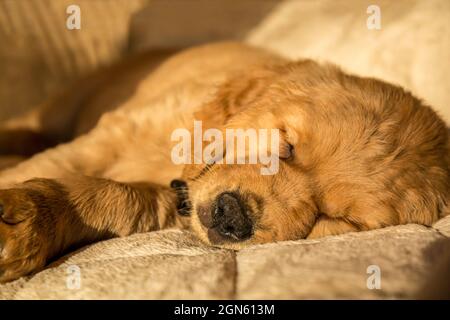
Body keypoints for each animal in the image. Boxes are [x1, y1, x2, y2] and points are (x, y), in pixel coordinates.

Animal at [0, 40, 446, 282]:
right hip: (63, 106)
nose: (233, 216)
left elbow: (118, 199)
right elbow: (54, 163)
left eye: (337, 219)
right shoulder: (115, 130)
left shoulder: (167, 202)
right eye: (286, 144)